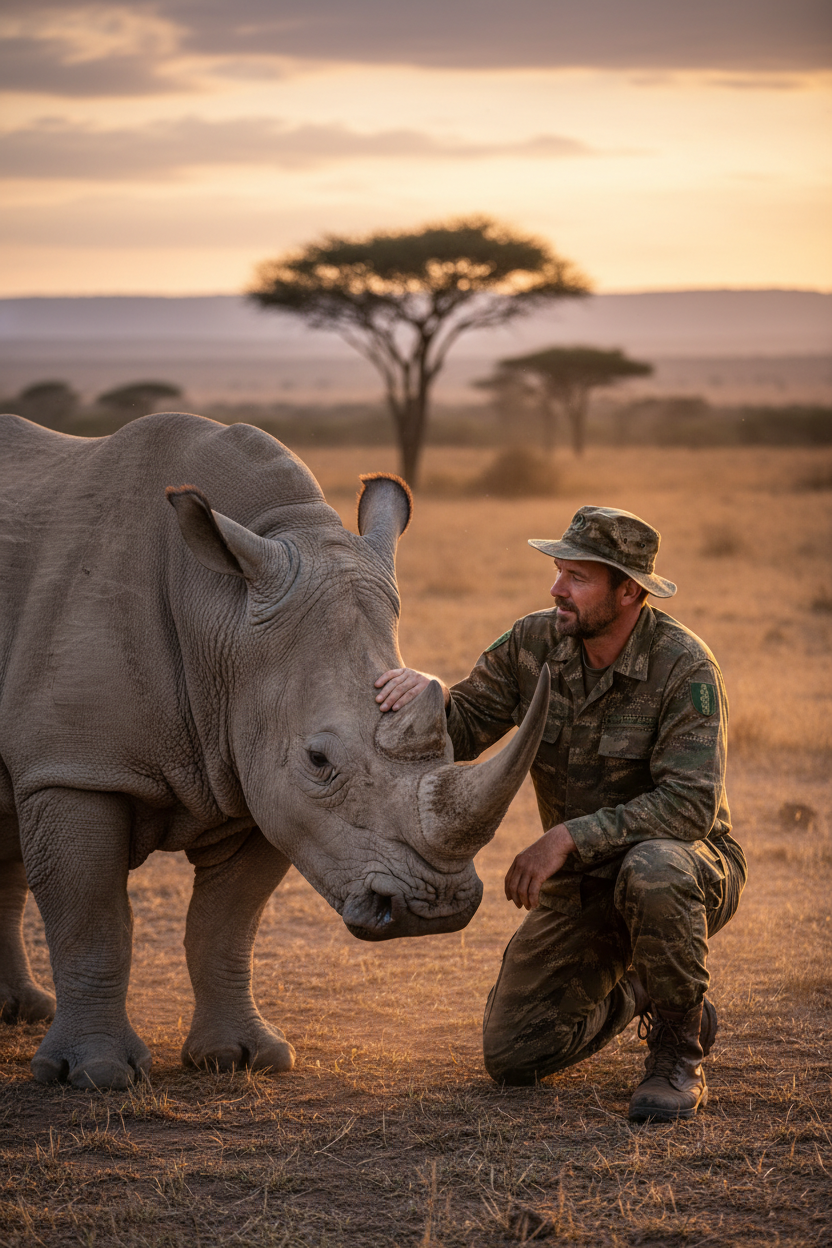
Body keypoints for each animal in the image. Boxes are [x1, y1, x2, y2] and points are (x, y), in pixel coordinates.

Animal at [0, 411, 549, 1089]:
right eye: (319, 760)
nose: (437, 908)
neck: (220, 616)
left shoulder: (258, 777)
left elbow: (226, 924)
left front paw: (242, 1059)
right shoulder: (73, 769)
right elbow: (90, 919)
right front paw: (97, 1075)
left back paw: (21, 1012)